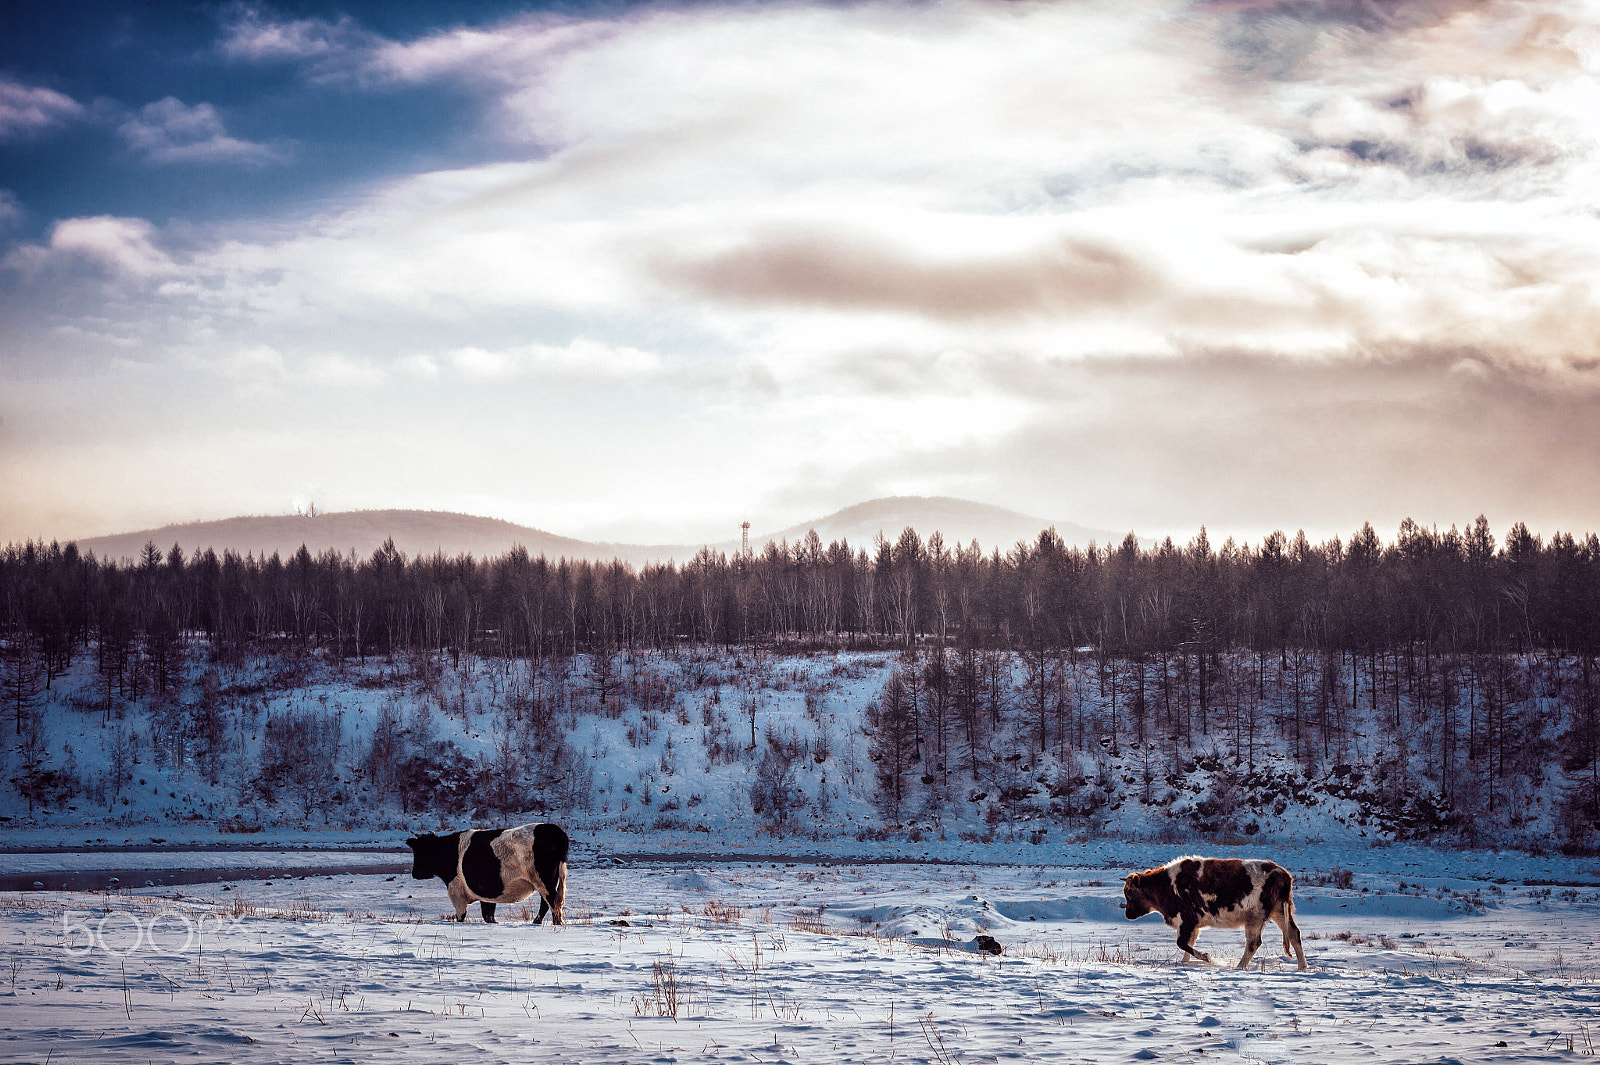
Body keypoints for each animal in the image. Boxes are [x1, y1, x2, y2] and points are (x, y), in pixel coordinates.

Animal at [406, 818, 569, 921]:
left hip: (543, 881)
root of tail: (554, 829)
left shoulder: (456, 892)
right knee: (548, 904)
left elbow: (461, 917)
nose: (414, 873)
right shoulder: (487, 894)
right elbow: (488, 916)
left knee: (552, 903)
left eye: (419, 852)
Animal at [1120, 850, 1305, 965]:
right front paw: (1184, 963)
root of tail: (1280, 873)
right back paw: (1302, 967)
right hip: (1278, 912)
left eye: (1129, 892)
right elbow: (1187, 943)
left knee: (1254, 943)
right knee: (1294, 934)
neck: (1167, 884)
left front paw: (1206, 957)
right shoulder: (1192, 924)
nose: (1127, 914)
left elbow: (1182, 943)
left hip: (1255, 917)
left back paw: (1239, 966)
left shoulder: (1187, 919)